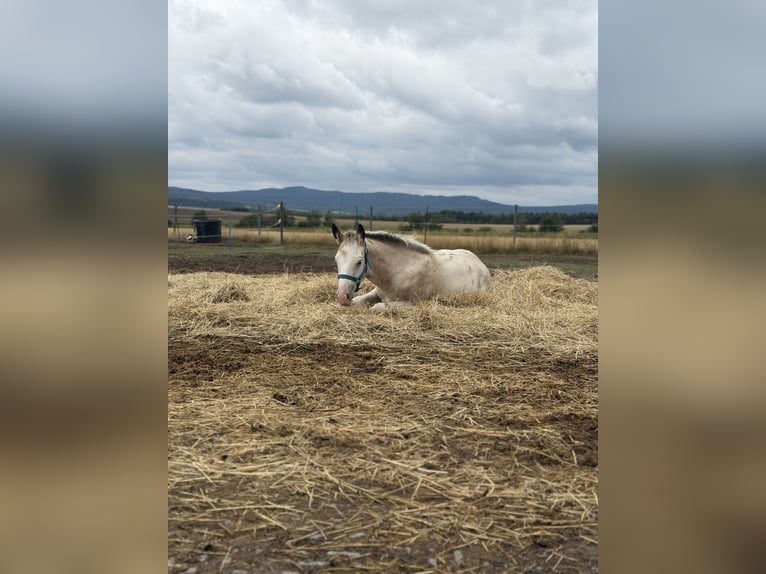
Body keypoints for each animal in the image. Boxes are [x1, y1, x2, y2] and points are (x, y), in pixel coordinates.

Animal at [332, 223, 491, 309]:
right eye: (336, 260)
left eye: (359, 261)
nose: (342, 297)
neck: (396, 272)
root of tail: (480, 263)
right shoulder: (375, 293)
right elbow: (357, 301)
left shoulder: (414, 303)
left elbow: (377, 306)